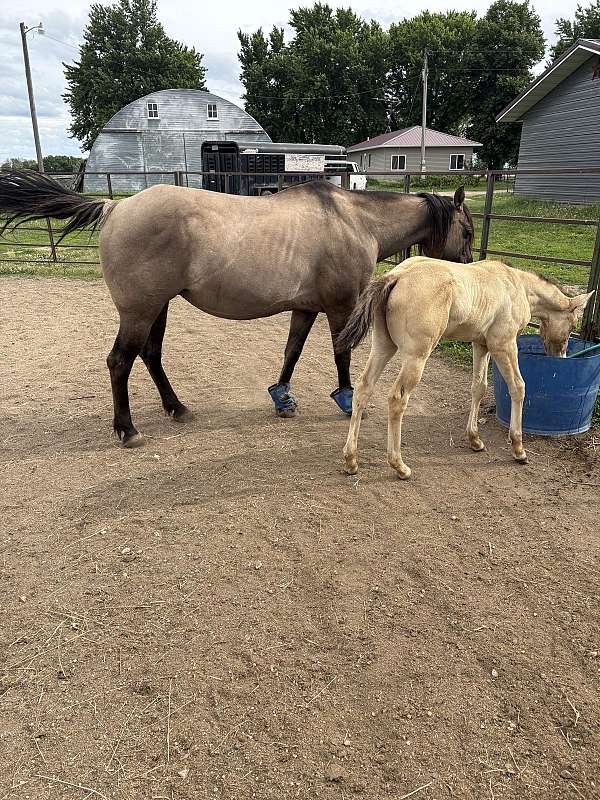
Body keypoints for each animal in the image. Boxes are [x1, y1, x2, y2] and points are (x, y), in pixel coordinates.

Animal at [0, 172, 473, 447]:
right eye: (467, 231)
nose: (469, 270)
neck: (355, 220)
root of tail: (116, 206)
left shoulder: (305, 309)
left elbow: (291, 353)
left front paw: (282, 398)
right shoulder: (340, 307)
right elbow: (341, 353)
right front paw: (345, 399)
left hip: (158, 308)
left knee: (150, 355)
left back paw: (177, 408)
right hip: (139, 310)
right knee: (120, 361)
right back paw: (128, 429)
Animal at [337, 256, 594, 479]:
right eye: (572, 325)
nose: (561, 357)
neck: (516, 284)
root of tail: (396, 275)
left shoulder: (481, 344)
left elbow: (479, 387)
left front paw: (475, 440)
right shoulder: (503, 345)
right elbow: (518, 386)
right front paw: (518, 448)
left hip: (383, 346)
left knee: (363, 388)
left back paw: (351, 460)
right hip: (416, 356)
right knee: (397, 399)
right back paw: (399, 466)